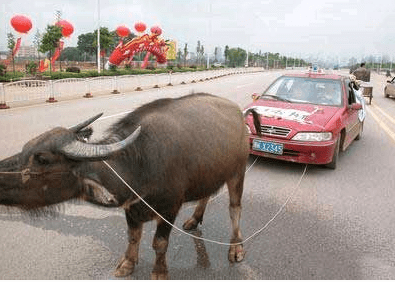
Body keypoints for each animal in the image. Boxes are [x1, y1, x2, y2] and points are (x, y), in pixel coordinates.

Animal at [0, 93, 251, 280]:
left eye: (42, 159)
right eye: (25, 148)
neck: (141, 164)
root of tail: (238, 113)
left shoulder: (170, 208)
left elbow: (160, 243)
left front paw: (159, 272)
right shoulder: (131, 206)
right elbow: (133, 236)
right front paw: (127, 264)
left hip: (238, 172)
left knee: (235, 208)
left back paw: (235, 247)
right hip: (210, 173)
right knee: (206, 194)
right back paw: (194, 219)